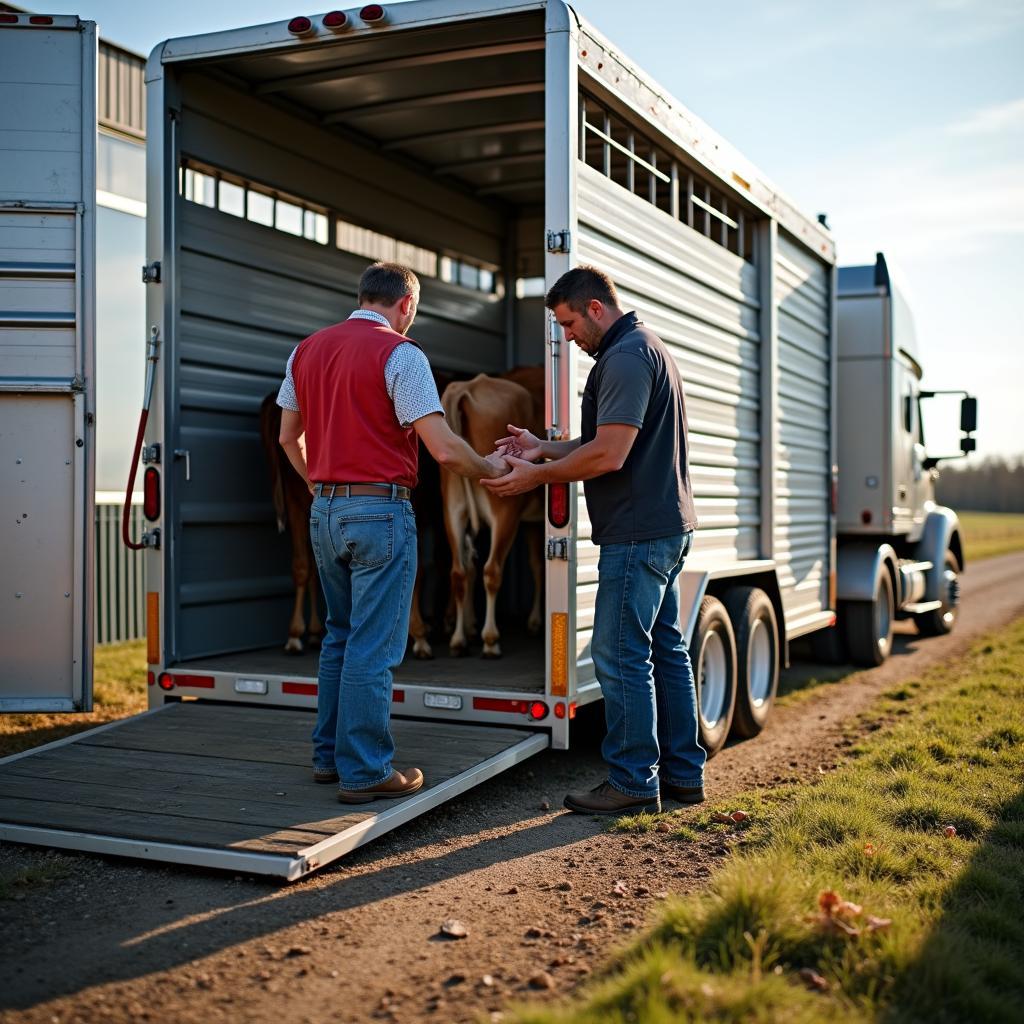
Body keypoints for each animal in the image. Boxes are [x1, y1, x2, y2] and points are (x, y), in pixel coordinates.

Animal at [442, 372, 548, 659]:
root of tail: (468, 385)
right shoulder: (529, 521)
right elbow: (538, 567)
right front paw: (535, 622)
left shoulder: (531, 523)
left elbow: (535, 564)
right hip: (504, 510)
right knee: (491, 570)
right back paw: (490, 639)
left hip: (452, 508)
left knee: (459, 572)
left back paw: (458, 640)